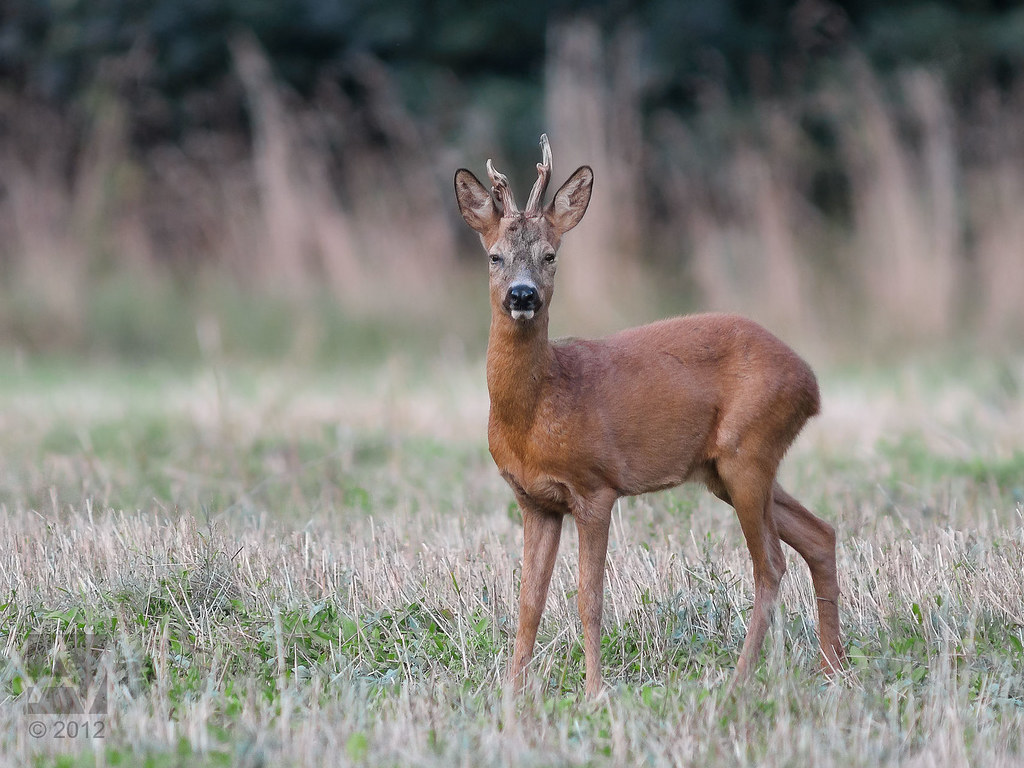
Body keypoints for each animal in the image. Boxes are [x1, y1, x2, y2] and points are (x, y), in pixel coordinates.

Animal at [454, 134, 845, 698]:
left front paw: (595, 692)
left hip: (749, 449)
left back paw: (740, 680)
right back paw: (834, 667)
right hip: (726, 469)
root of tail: (811, 385)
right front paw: (512, 692)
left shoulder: (595, 487)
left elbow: (588, 599)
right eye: (494, 256)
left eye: (550, 256)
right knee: (820, 534)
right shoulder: (534, 500)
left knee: (770, 564)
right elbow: (528, 603)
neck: (536, 411)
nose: (522, 295)